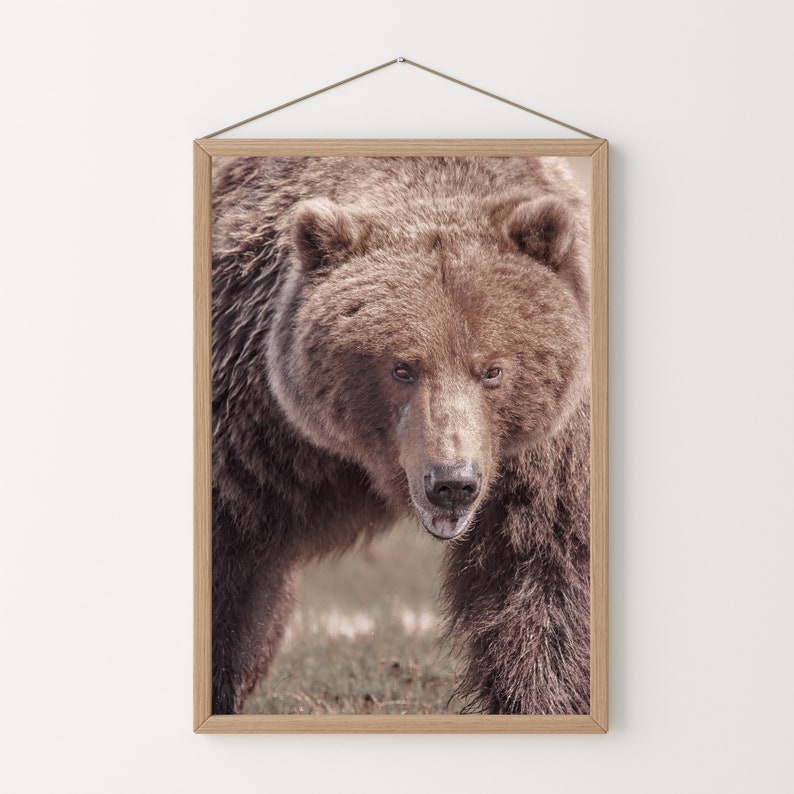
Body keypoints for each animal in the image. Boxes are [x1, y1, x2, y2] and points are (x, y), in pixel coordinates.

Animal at [210, 155, 591, 715]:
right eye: (402, 368)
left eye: (492, 370)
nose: (452, 482)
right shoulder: (250, 420)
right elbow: (228, 568)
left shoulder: (550, 458)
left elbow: (545, 570)